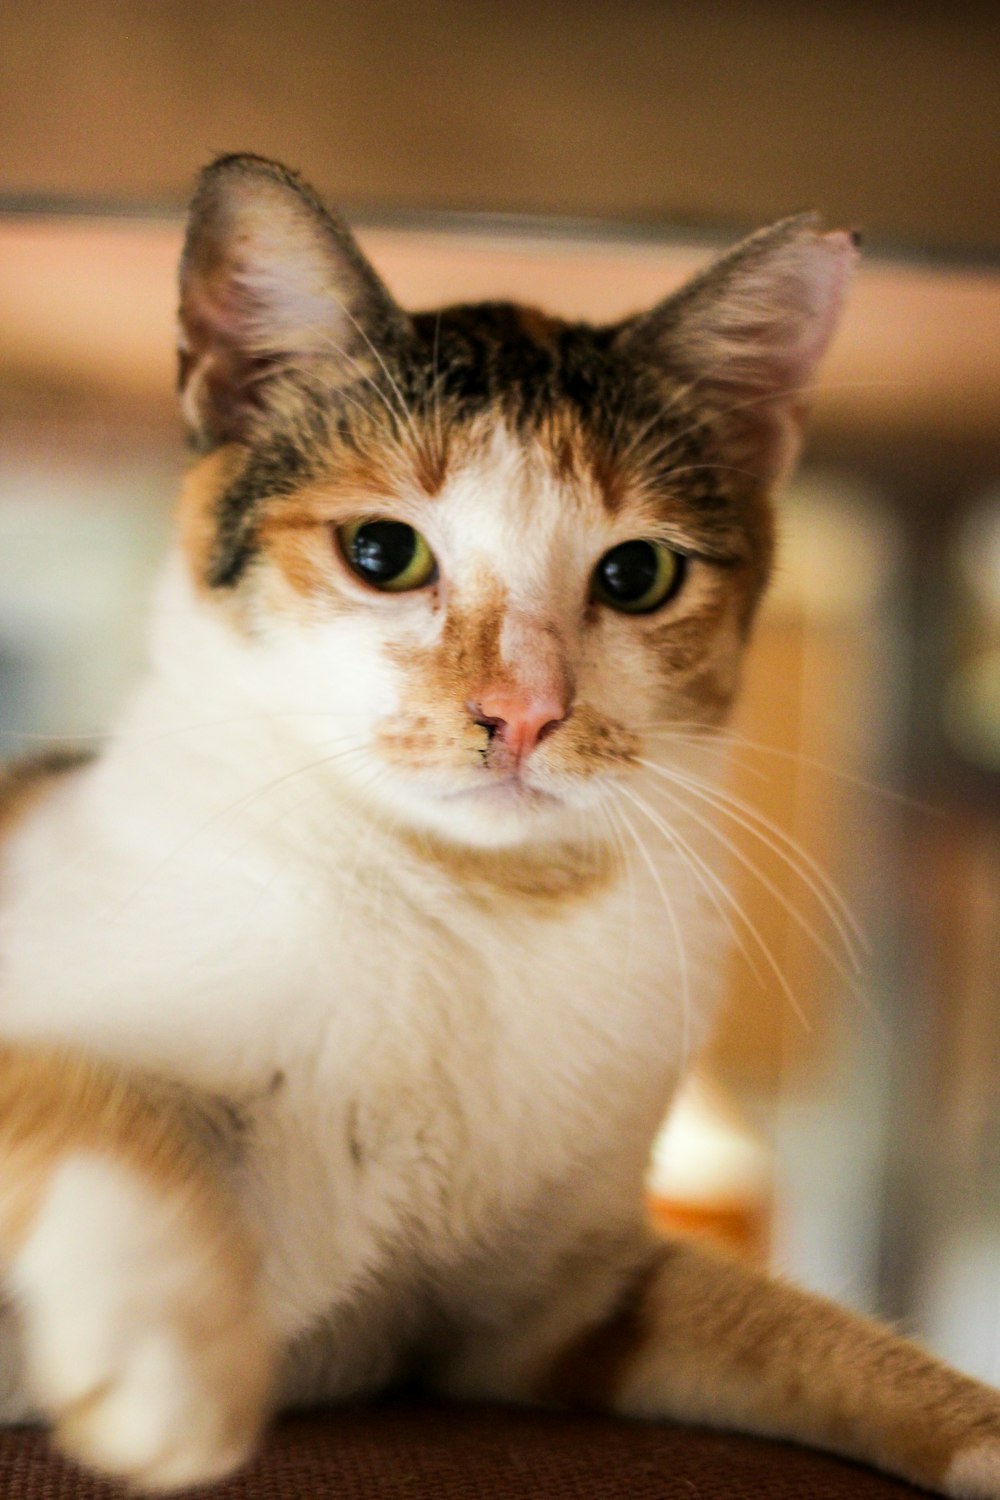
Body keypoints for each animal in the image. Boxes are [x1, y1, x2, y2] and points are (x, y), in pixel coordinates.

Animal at [1, 155, 1000, 1500]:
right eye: (382, 551)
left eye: (637, 575)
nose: (523, 712)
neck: (475, 918)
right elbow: (96, 1098)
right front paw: (168, 1338)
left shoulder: (555, 1313)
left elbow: (815, 1334)